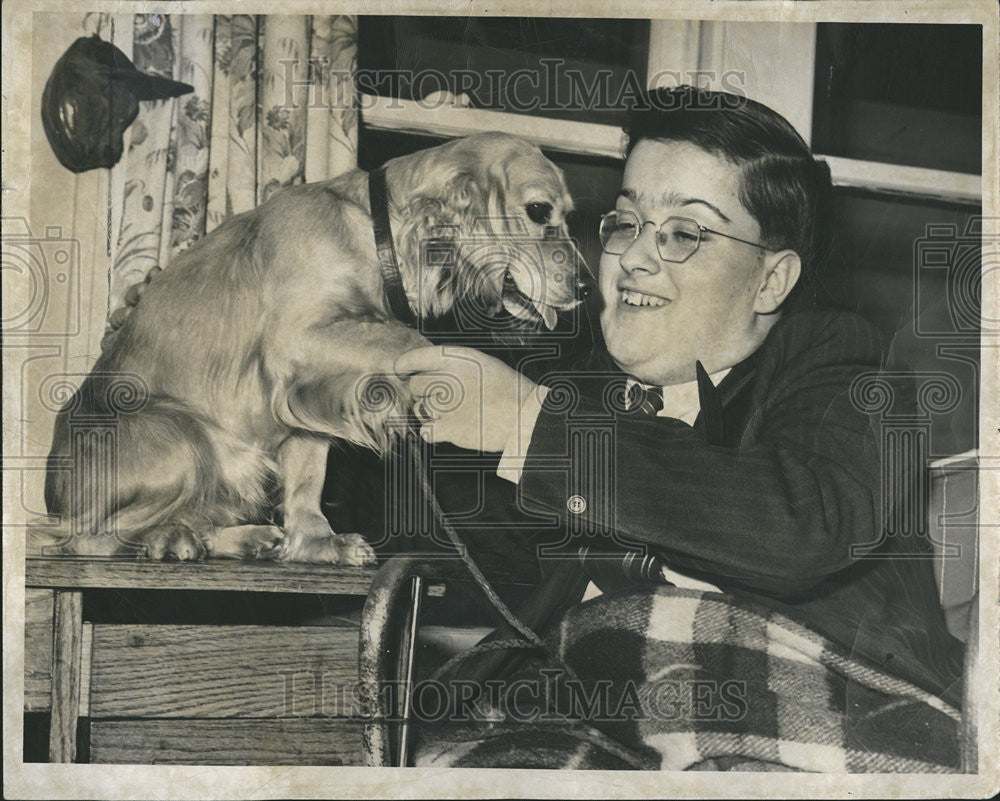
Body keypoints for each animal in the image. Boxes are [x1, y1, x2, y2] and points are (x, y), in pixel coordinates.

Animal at [39, 133, 584, 564]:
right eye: (539, 211)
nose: (585, 286)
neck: (373, 233)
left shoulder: (313, 393)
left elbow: (306, 481)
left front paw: (316, 543)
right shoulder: (297, 343)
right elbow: (410, 339)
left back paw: (237, 538)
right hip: (183, 439)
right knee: (89, 536)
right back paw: (171, 538)